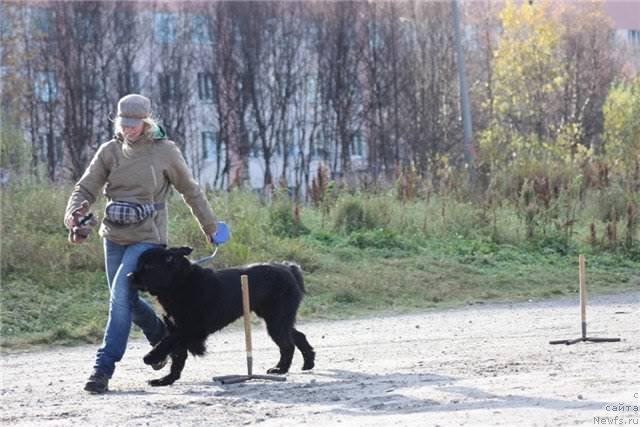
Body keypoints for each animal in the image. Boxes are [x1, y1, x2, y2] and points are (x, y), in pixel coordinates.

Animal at [127, 246, 316, 386]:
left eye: (148, 267)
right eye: (138, 264)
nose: (129, 276)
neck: (180, 283)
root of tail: (288, 268)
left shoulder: (190, 329)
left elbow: (166, 343)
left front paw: (151, 357)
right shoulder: (177, 328)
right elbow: (177, 358)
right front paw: (165, 380)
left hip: (276, 320)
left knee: (287, 344)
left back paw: (280, 369)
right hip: (277, 318)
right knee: (297, 336)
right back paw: (308, 363)